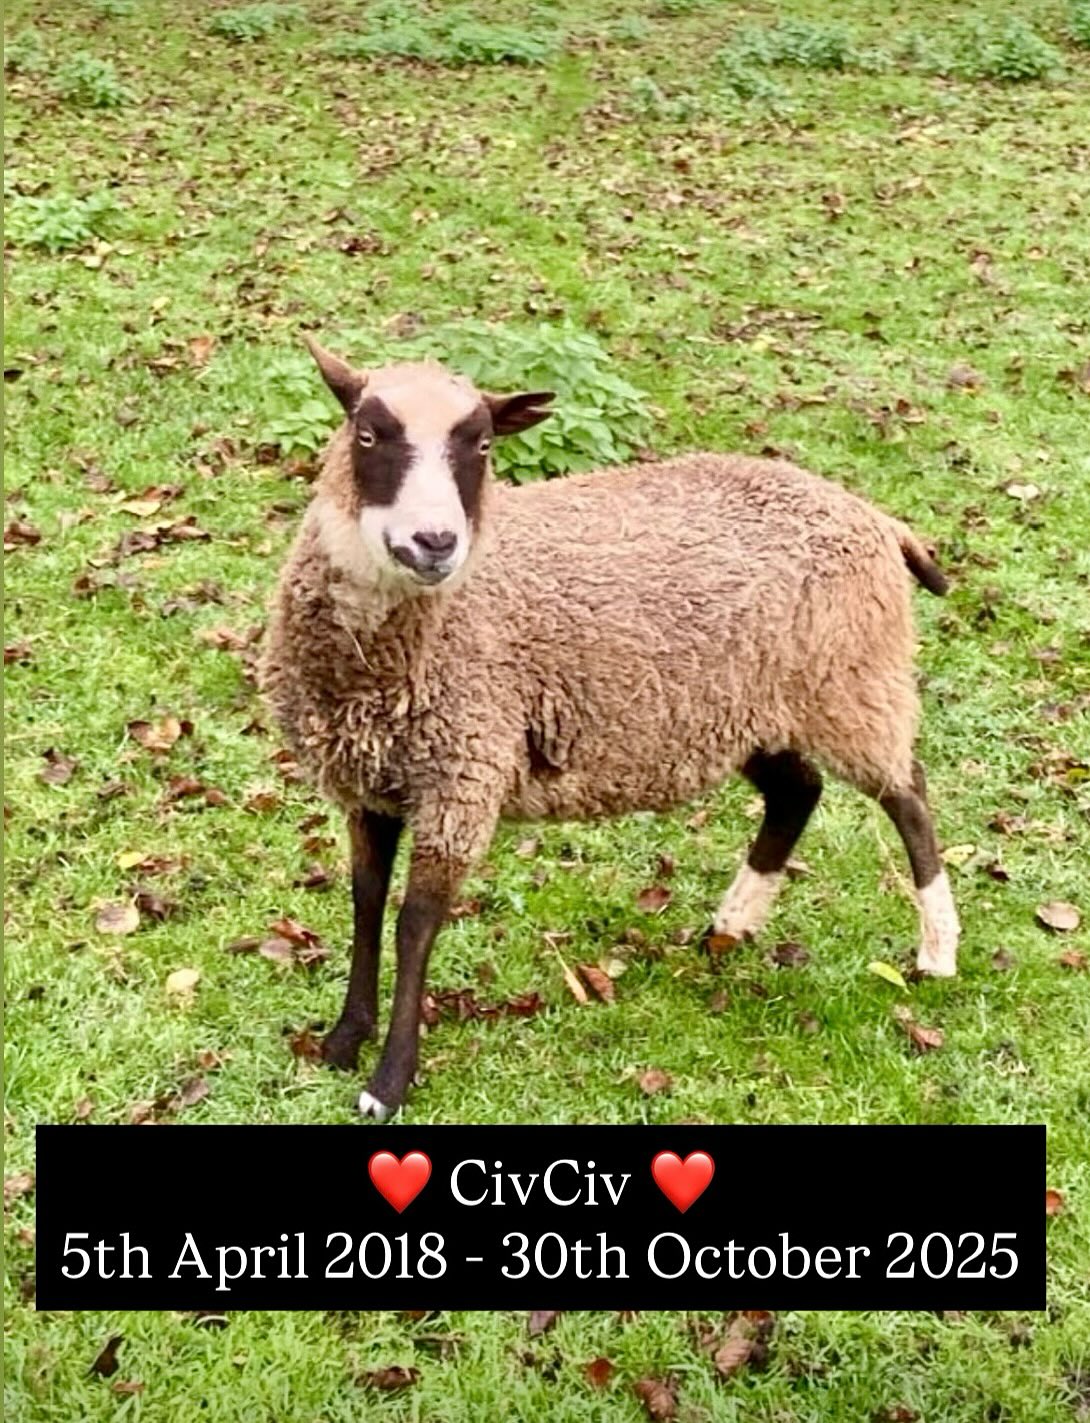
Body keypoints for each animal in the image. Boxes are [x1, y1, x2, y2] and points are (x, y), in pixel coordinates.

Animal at [260, 337, 960, 1120]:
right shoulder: (370, 780)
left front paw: (388, 1082)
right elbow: (366, 900)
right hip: (752, 708)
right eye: (368, 434)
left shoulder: (461, 775)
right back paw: (731, 925)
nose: (434, 541)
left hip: (854, 684)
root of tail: (874, 517)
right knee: (797, 791)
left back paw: (936, 951)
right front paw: (341, 1041)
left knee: (907, 796)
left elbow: (415, 923)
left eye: (481, 445)